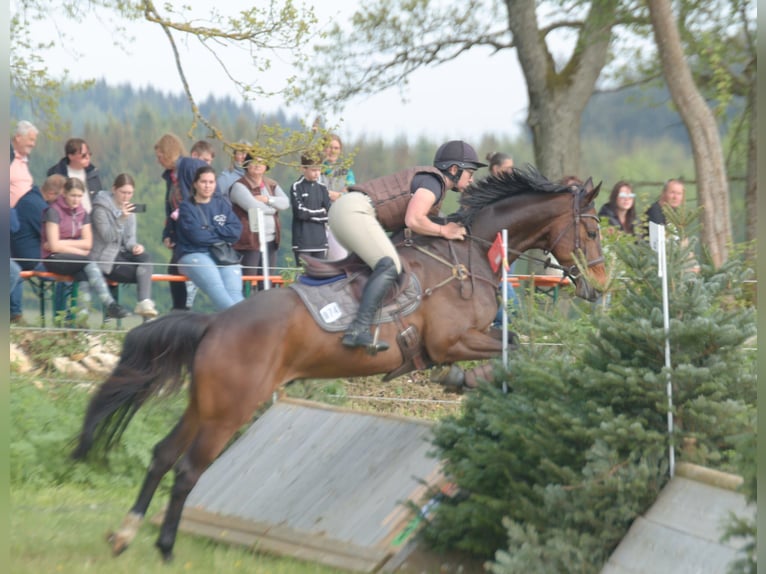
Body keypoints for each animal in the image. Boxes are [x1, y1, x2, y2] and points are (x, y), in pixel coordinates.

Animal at [75, 165, 608, 564]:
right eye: (593, 229)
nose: (601, 286)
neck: (471, 250)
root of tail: (214, 324)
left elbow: (511, 344)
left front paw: (470, 383)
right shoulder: (453, 340)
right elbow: (513, 345)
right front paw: (469, 380)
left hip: (205, 405)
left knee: (163, 455)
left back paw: (125, 535)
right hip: (230, 410)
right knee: (187, 470)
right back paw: (164, 548)